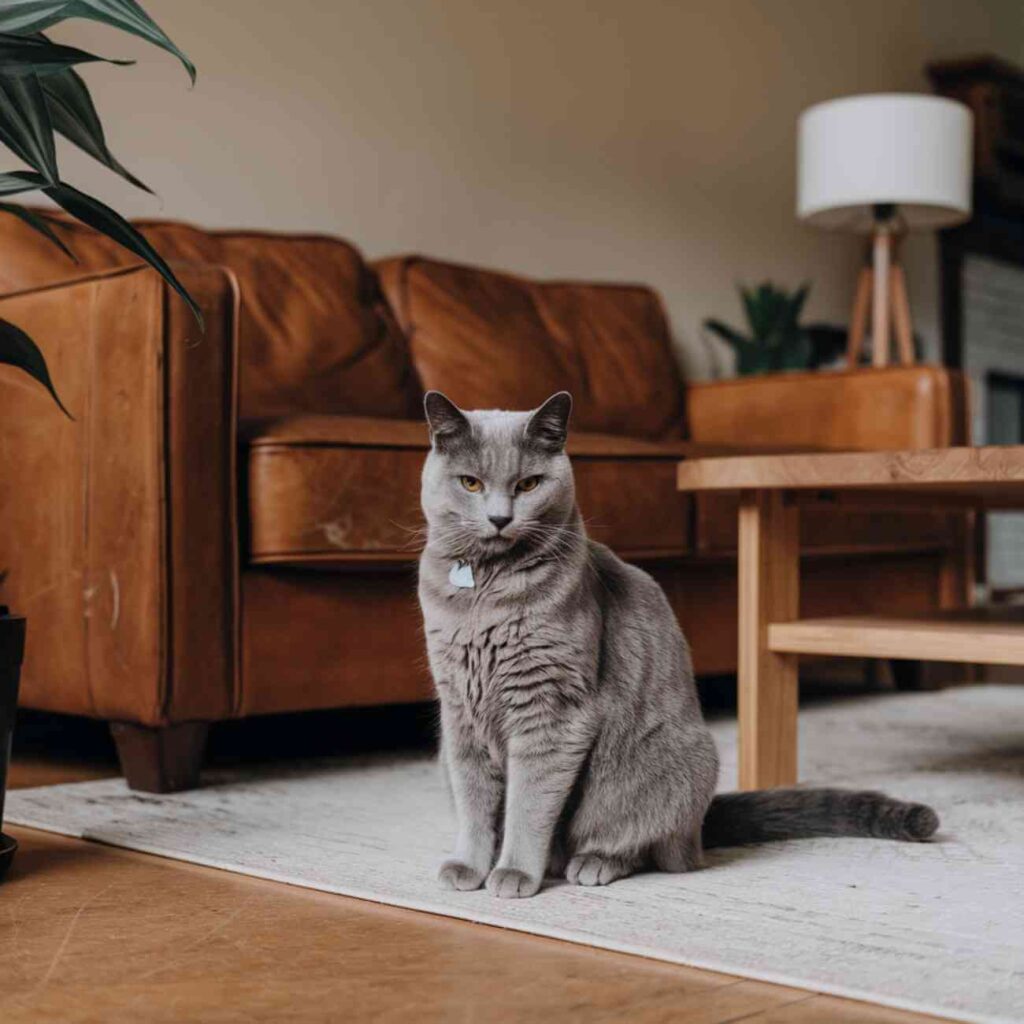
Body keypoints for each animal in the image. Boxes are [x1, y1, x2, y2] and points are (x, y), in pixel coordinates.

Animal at [415, 391, 937, 897]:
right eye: (470, 483)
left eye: (528, 484)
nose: (499, 518)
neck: (486, 594)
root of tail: (700, 828)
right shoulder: (459, 711)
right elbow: (475, 802)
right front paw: (468, 867)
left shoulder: (551, 712)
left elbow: (528, 803)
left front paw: (515, 874)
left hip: (667, 765)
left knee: (650, 850)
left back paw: (594, 864)